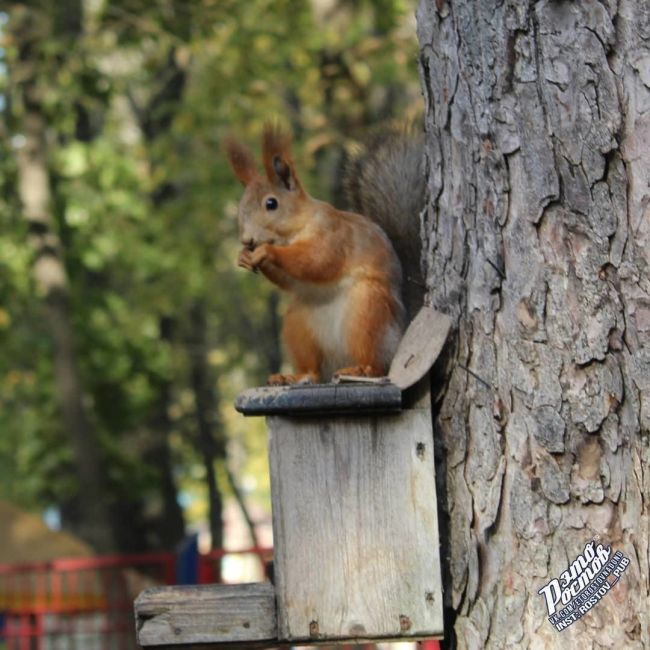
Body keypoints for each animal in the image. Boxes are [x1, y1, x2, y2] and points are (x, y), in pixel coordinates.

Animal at [225, 124, 422, 382]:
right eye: (241, 206)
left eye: (271, 204)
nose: (246, 240)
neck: (293, 233)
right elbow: (290, 279)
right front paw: (243, 256)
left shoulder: (333, 235)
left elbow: (316, 261)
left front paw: (266, 251)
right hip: (299, 325)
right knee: (314, 370)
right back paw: (293, 376)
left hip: (367, 312)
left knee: (377, 361)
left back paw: (363, 369)